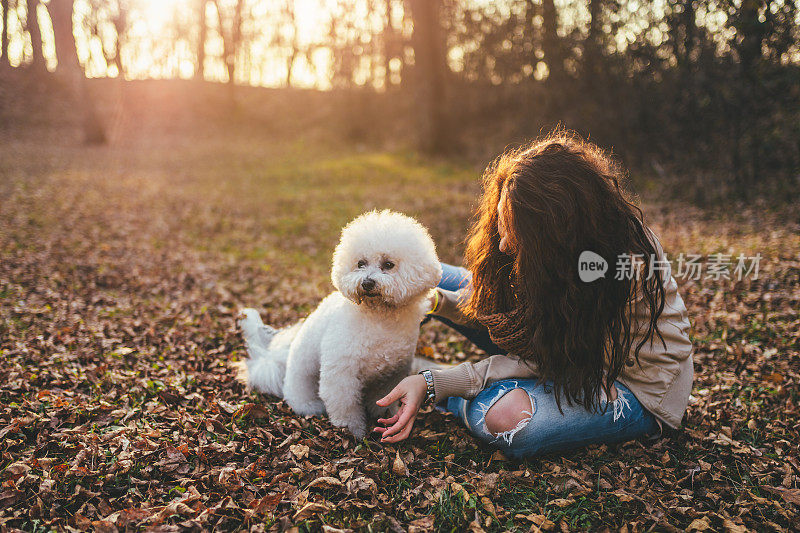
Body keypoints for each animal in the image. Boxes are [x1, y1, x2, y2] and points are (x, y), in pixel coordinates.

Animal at [238, 210, 440, 438]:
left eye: (388, 264)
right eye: (360, 263)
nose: (367, 283)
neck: (379, 317)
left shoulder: (391, 374)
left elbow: (382, 398)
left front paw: (383, 414)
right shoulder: (341, 372)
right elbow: (345, 404)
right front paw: (352, 431)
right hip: (303, 376)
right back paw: (309, 406)